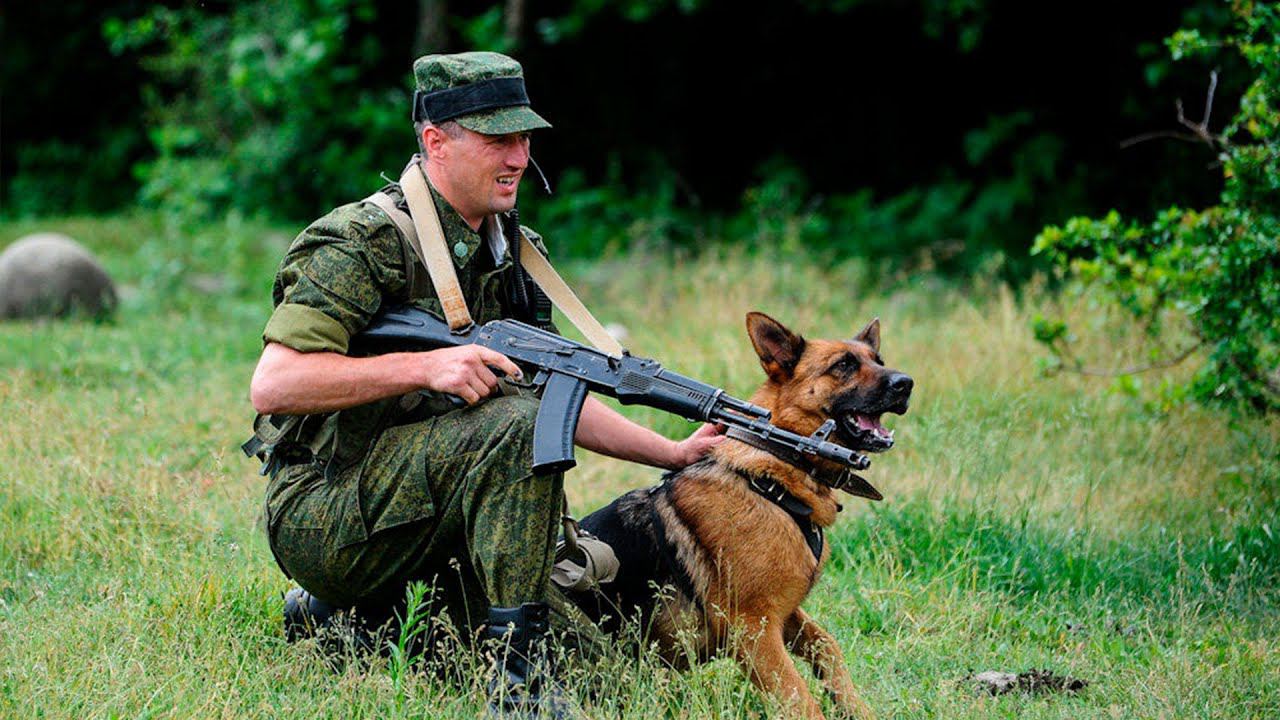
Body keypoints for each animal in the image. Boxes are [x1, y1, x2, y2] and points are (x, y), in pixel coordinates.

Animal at [568, 311, 911, 712]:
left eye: (878, 361)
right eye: (843, 365)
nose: (906, 384)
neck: (773, 477)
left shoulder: (782, 615)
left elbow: (827, 645)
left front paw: (855, 706)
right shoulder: (752, 629)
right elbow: (800, 699)